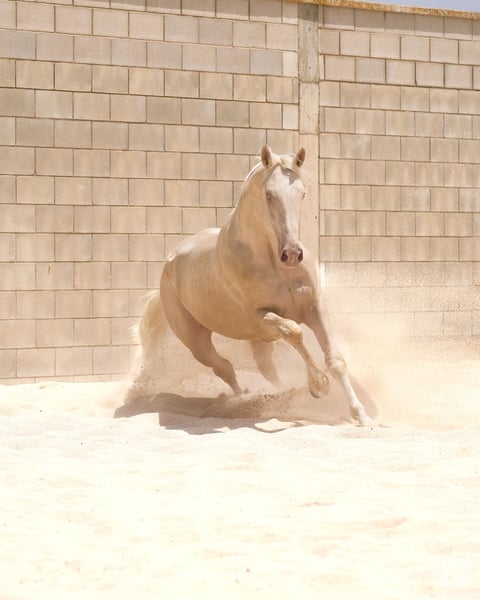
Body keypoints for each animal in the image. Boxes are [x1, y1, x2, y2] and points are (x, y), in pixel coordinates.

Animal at [126, 145, 372, 426]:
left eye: (302, 193)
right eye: (269, 195)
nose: (291, 254)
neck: (275, 265)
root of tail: (171, 259)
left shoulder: (314, 308)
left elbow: (336, 361)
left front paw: (361, 415)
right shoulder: (260, 318)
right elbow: (294, 331)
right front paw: (318, 385)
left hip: (258, 341)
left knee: (265, 369)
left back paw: (277, 398)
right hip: (197, 341)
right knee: (223, 367)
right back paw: (243, 400)